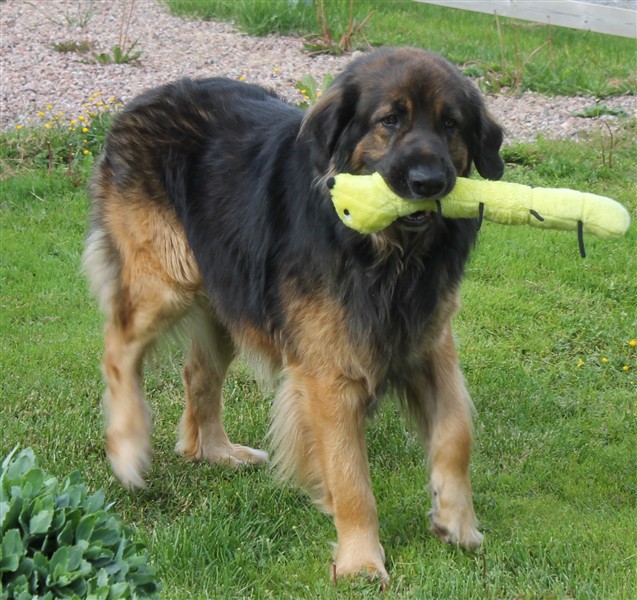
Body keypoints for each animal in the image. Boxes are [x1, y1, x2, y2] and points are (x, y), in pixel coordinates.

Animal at [83, 47, 502, 580]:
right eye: (390, 120)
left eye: (451, 124)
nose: (429, 182)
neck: (388, 255)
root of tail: (138, 103)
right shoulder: (330, 375)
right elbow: (350, 476)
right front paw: (361, 561)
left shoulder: (428, 344)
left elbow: (456, 434)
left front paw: (457, 521)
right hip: (166, 282)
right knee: (117, 352)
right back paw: (128, 446)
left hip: (229, 293)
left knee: (198, 373)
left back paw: (217, 452)